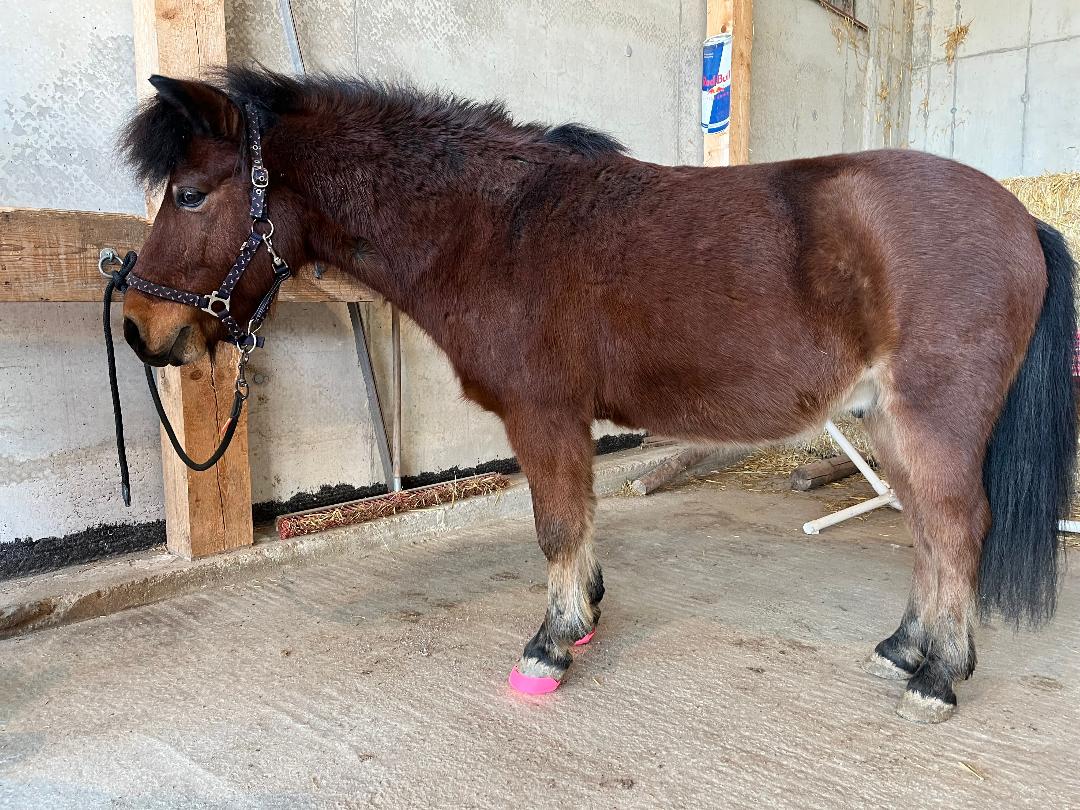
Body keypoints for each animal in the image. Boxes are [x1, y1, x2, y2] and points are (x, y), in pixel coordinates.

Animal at [117, 68, 1076, 723]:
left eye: (191, 194)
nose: (137, 328)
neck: (494, 227)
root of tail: (1020, 217)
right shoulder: (565, 422)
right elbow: (578, 520)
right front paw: (584, 614)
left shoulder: (541, 414)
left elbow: (555, 525)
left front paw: (550, 647)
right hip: (885, 422)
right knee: (927, 532)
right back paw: (904, 650)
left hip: (932, 419)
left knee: (957, 528)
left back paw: (939, 677)